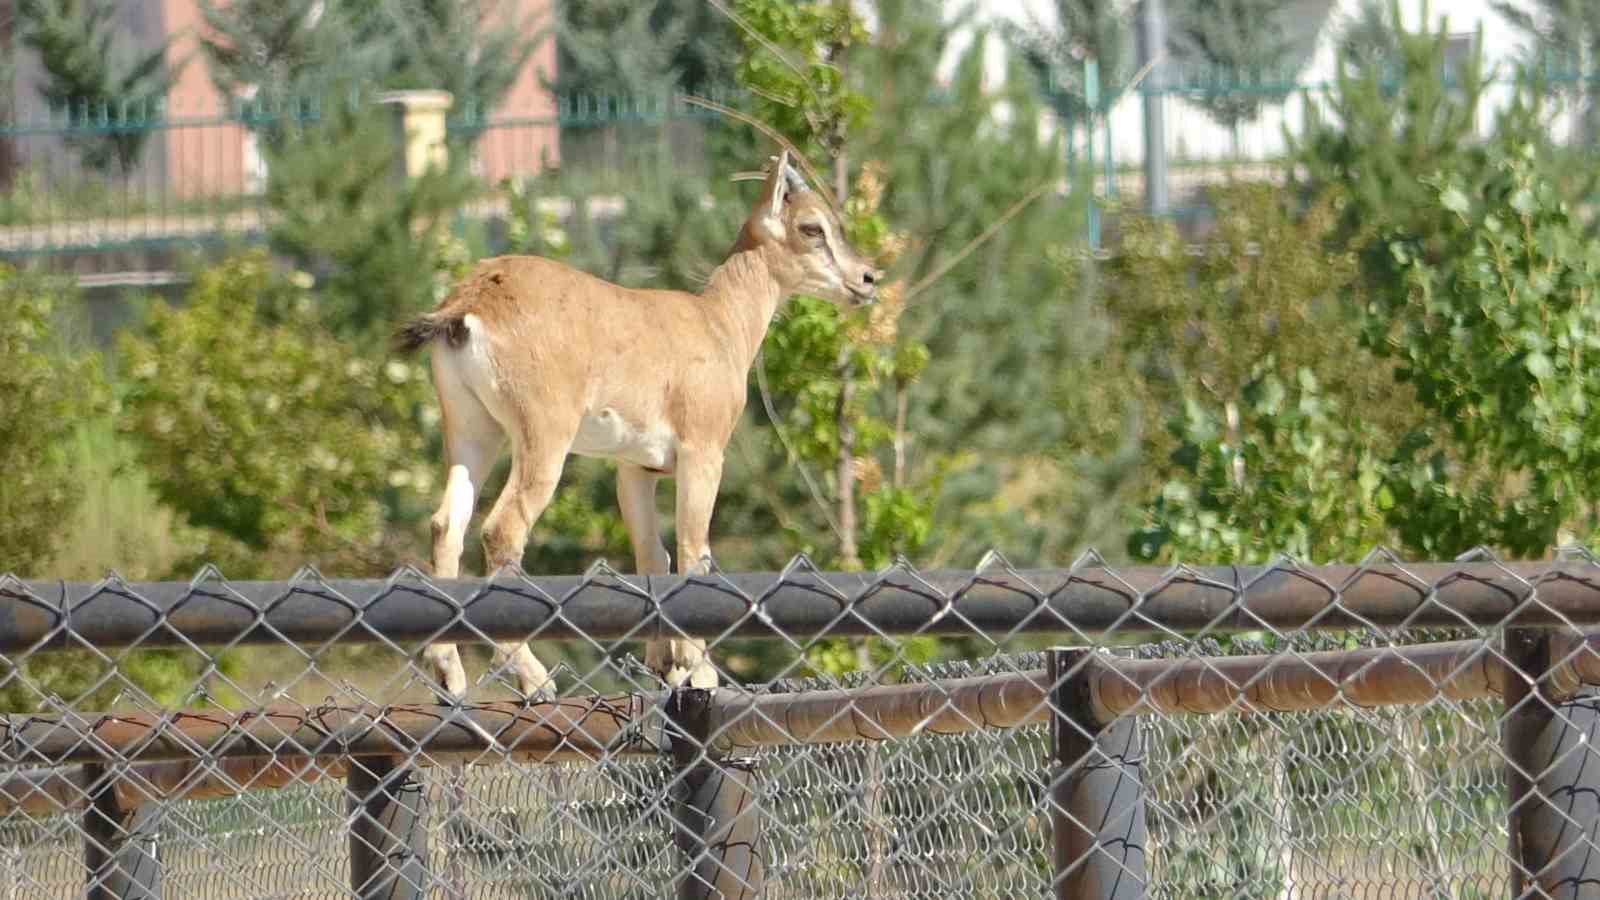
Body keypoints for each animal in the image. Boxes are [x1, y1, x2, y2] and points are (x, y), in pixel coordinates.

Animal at [393, 150, 883, 695]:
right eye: (812, 226)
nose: (867, 279)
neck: (718, 325)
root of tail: (470, 303)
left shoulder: (635, 469)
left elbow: (654, 557)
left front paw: (665, 666)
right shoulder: (702, 451)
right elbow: (693, 552)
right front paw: (699, 671)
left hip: (471, 430)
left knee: (446, 524)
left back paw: (449, 672)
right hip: (543, 435)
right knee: (502, 529)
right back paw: (534, 677)